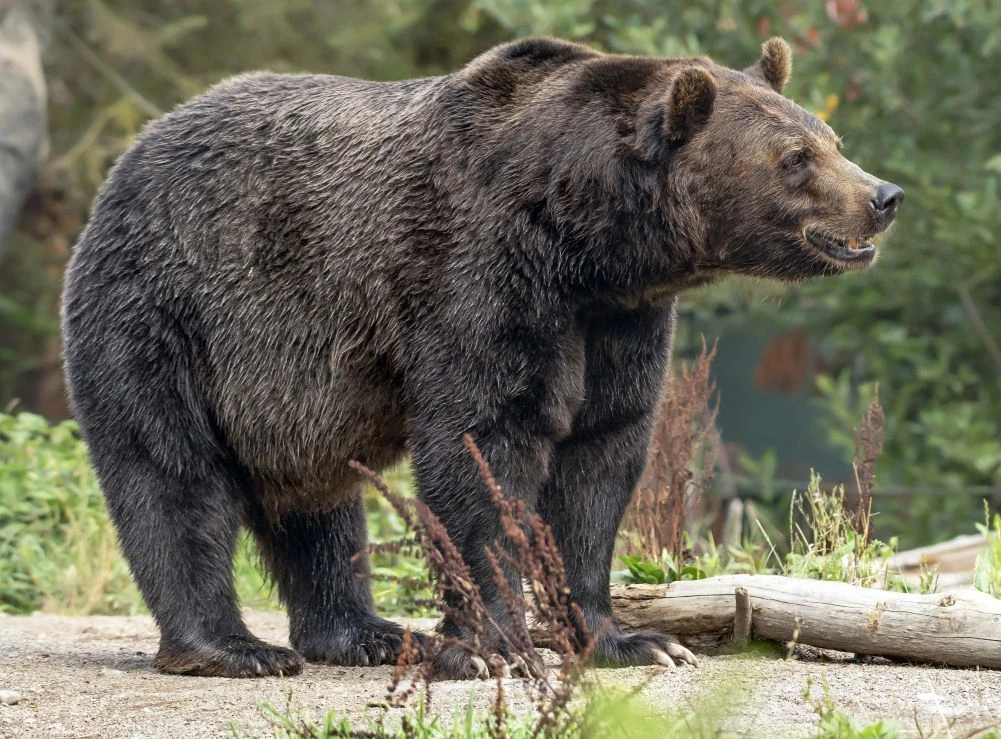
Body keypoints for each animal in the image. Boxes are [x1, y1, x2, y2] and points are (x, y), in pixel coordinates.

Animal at [61, 36, 902, 679]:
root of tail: (127, 159)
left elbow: (599, 460)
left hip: (288, 393)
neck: (584, 241)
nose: (882, 195)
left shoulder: (617, 322)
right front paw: (493, 646)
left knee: (320, 505)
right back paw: (233, 648)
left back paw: (365, 632)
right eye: (794, 157)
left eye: (831, 140)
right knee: (172, 474)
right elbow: (481, 448)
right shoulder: (477, 274)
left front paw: (632, 640)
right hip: (167, 313)